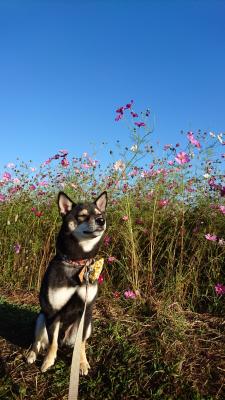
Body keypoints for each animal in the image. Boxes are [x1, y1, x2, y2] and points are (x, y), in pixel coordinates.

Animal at [26, 191, 107, 376]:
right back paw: (32, 354)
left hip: (87, 326)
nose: (101, 220)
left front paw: (82, 363)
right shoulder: (53, 312)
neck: (77, 262)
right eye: (82, 216)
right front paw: (48, 361)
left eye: (100, 214)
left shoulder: (87, 311)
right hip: (41, 318)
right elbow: (52, 343)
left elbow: (81, 344)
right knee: (38, 341)